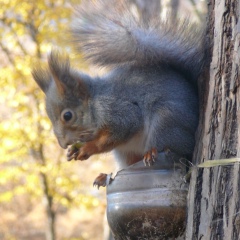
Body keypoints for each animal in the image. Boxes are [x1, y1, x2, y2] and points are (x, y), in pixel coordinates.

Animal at [31, 0, 204, 188]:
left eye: (67, 116)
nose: (63, 144)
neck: (94, 101)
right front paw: (72, 151)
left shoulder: (118, 110)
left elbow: (122, 129)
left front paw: (88, 148)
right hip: (126, 152)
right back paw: (105, 176)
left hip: (167, 122)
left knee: (174, 148)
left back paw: (152, 152)